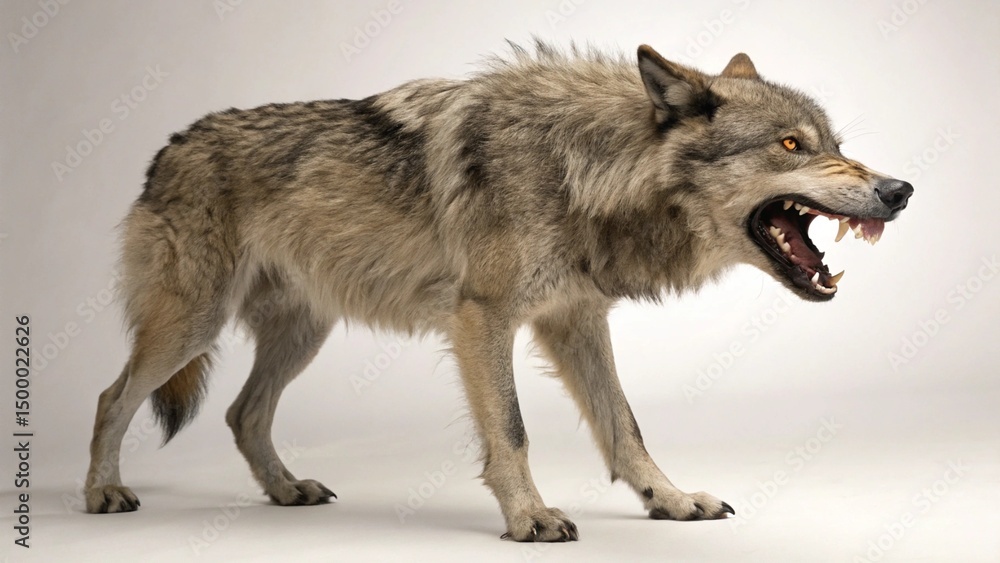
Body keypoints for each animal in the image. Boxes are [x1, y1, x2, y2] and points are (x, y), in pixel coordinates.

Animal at [85, 41, 912, 542]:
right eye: (791, 145)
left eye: (835, 144)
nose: (900, 190)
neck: (587, 168)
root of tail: (166, 149)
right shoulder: (483, 319)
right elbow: (510, 431)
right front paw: (530, 516)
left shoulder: (577, 320)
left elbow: (626, 427)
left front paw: (671, 501)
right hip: (192, 325)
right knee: (112, 396)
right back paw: (103, 494)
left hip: (300, 336)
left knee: (240, 411)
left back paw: (285, 491)